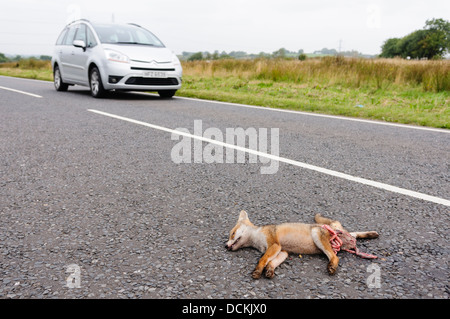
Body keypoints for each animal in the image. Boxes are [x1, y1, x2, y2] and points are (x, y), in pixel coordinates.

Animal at [227, 212, 378, 280]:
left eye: (232, 234)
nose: (225, 246)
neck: (257, 238)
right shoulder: (282, 251)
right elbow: (271, 263)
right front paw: (269, 270)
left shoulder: (274, 245)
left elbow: (262, 259)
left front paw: (258, 270)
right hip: (340, 238)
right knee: (354, 234)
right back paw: (372, 234)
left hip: (317, 234)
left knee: (335, 257)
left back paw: (332, 266)